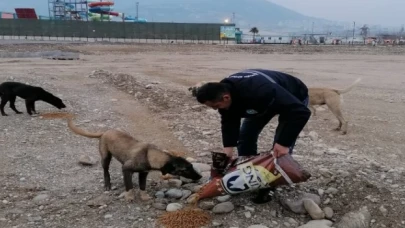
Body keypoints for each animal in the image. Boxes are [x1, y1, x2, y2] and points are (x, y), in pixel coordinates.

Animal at [66, 117, 202, 201]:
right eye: (185, 169)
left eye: (191, 166)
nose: (200, 176)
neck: (149, 154)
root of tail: (105, 131)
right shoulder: (126, 169)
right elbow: (129, 186)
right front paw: (130, 197)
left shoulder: (143, 174)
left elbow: (142, 186)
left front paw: (144, 196)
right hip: (105, 156)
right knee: (105, 170)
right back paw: (107, 184)